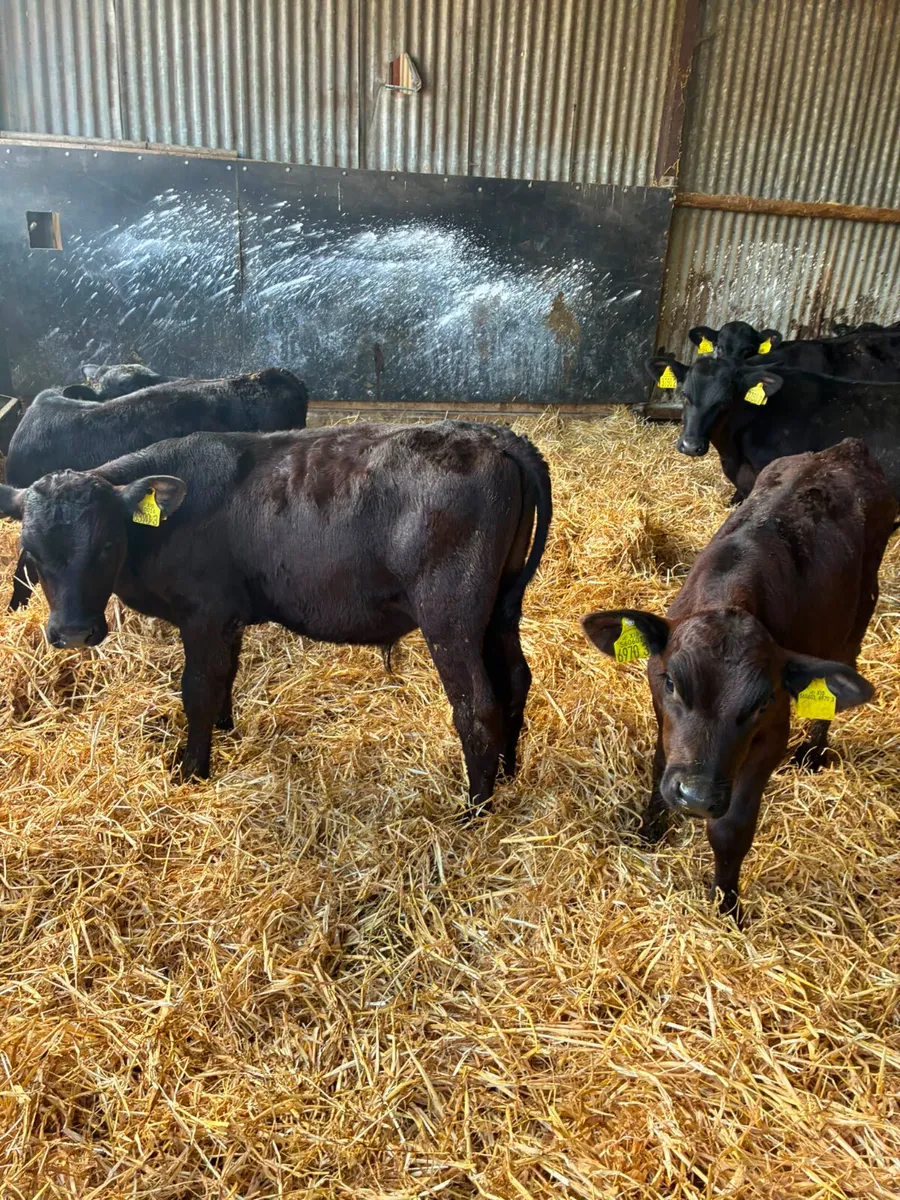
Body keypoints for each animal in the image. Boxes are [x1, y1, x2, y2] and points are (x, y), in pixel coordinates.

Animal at [0, 421, 552, 810]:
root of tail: (493, 436)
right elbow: (224, 676)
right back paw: (508, 773)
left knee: (477, 704)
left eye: (108, 544)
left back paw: (475, 809)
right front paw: (225, 730)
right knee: (514, 680)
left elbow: (197, 689)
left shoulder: (205, 613)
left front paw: (192, 770)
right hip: (500, 605)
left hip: (451, 612)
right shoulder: (227, 617)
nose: (73, 632)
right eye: (32, 552)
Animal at [581, 439, 896, 921]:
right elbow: (659, 765)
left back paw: (814, 751)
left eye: (762, 703)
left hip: (859, 612)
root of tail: (846, 448)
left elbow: (732, 830)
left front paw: (727, 906)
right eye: (671, 683)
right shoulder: (661, 716)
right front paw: (651, 828)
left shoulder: (772, 734)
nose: (695, 797)